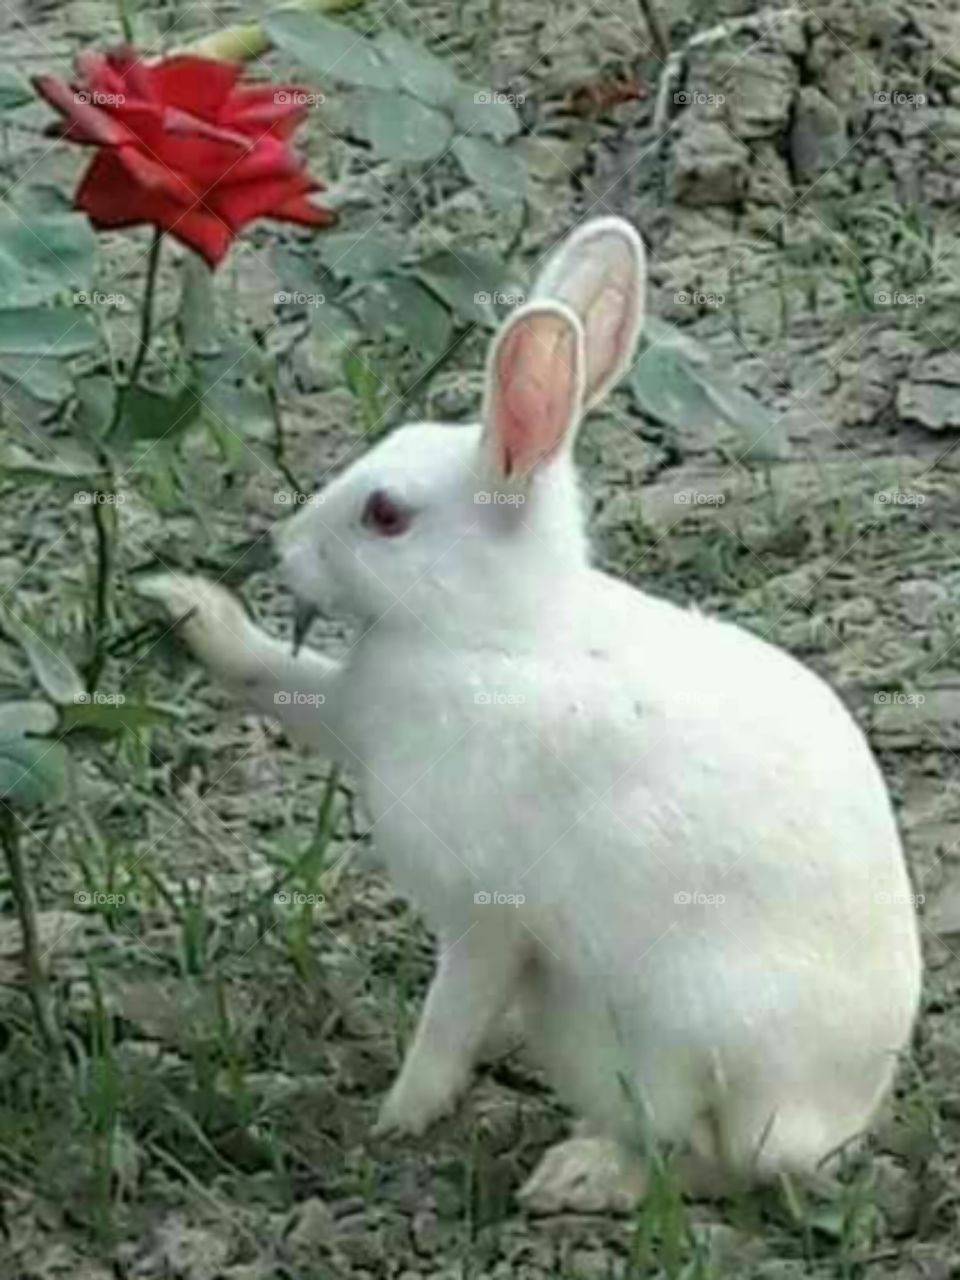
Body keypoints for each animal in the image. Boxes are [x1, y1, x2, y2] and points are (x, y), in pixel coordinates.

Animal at [140, 217, 922, 1214]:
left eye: (385, 515)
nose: (284, 549)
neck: (495, 632)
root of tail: (836, 1112)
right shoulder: (351, 711)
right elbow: (279, 677)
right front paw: (184, 605)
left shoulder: (485, 917)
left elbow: (449, 1020)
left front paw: (396, 1119)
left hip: (678, 1045)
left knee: (710, 1161)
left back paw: (575, 1177)